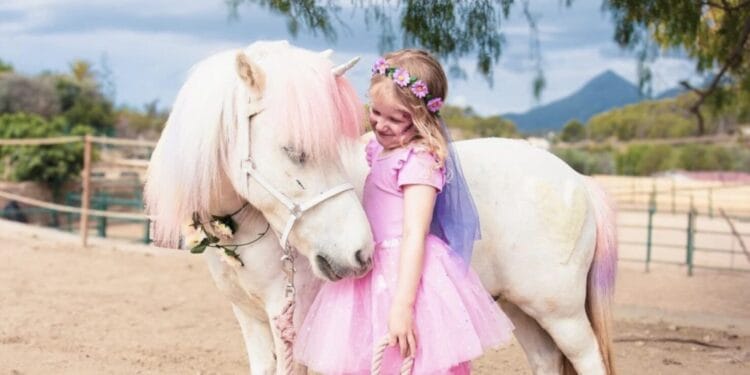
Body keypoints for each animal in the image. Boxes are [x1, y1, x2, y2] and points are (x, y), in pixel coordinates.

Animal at [145, 41, 616, 375]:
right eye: (295, 151)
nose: (358, 254)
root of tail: (578, 180)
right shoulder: (250, 320)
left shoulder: (288, 322)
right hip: (524, 309)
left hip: (563, 314)